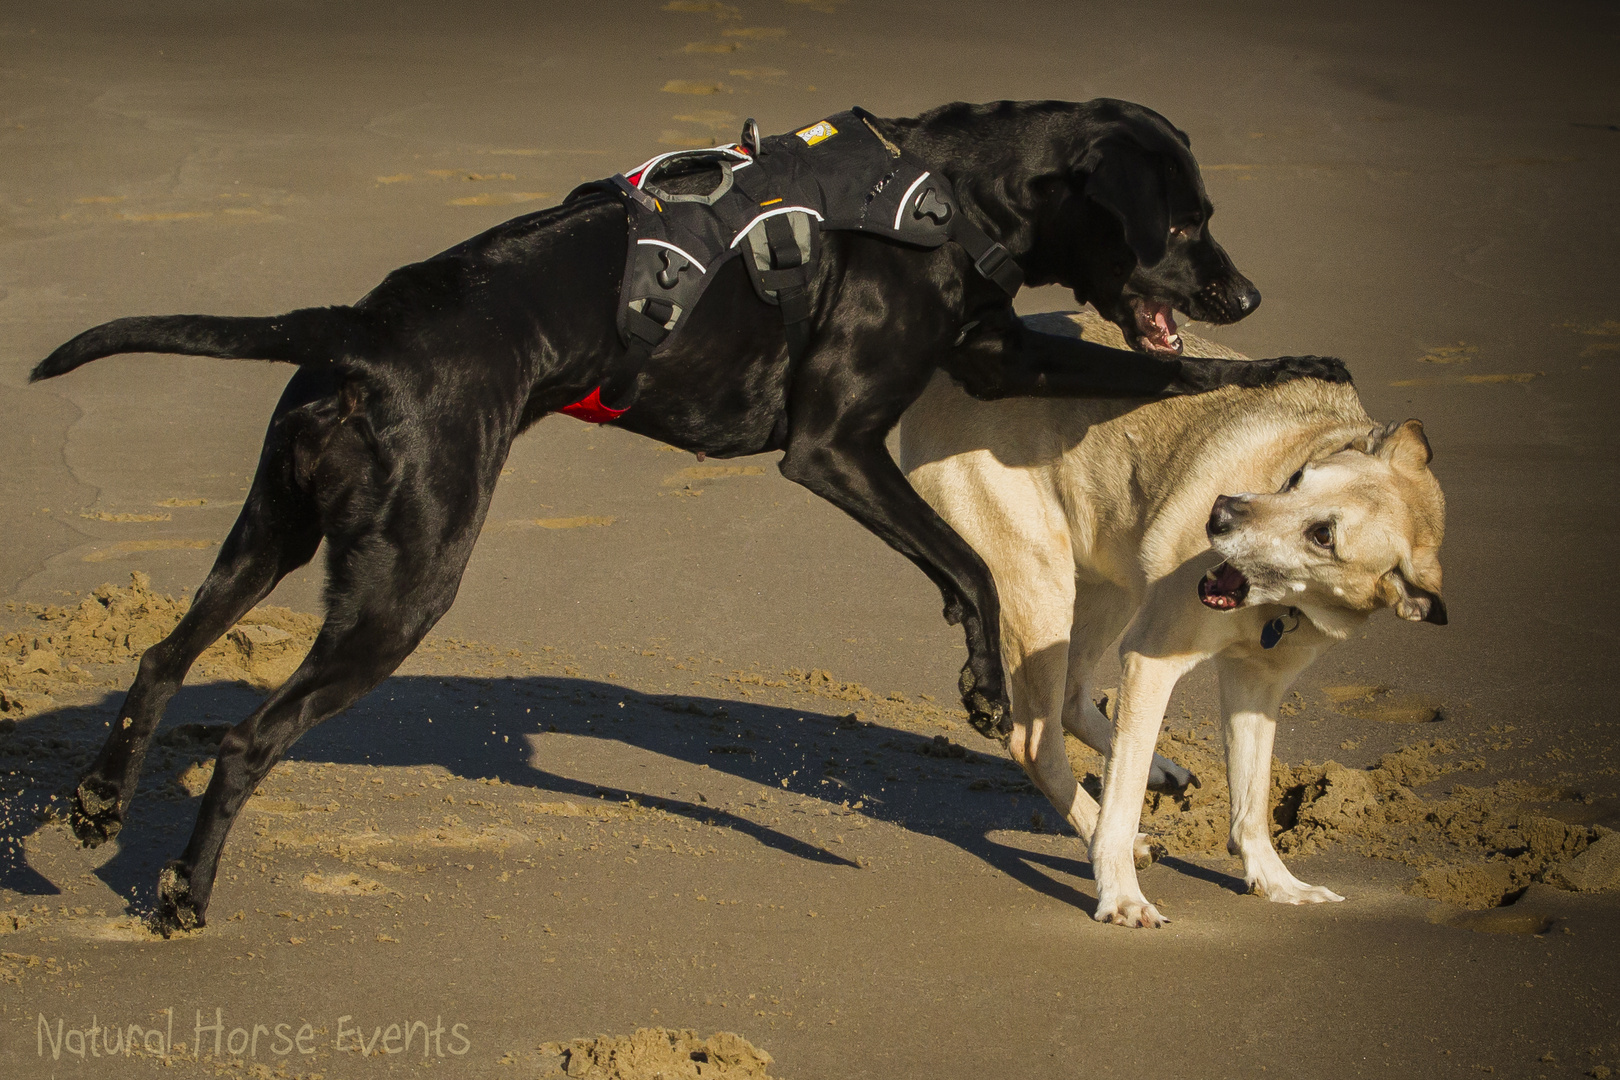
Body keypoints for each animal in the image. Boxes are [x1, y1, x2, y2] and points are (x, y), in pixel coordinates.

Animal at [28, 99, 1341, 939]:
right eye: (1185, 224)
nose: (1245, 292)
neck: (954, 191)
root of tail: (354, 327)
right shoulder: (832, 447)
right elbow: (966, 566)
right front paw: (977, 684)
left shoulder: (998, 357)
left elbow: (1158, 373)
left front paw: (1288, 359)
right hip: (405, 580)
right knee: (249, 738)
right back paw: (183, 896)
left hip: (273, 534)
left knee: (159, 656)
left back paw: (98, 801)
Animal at [907, 312, 1451, 932]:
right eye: (1297, 479)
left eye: (1323, 535)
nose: (1220, 512)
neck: (1278, 606)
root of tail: (948, 363)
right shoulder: (1151, 659)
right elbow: (1123, 803)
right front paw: (1121, 893)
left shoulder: (1256, 687)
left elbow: (1250, 800)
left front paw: (1278, 883)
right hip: (1044, 585)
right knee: (1034, 740)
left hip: (1111, 580)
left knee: (1072, 702)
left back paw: (1158, 774)